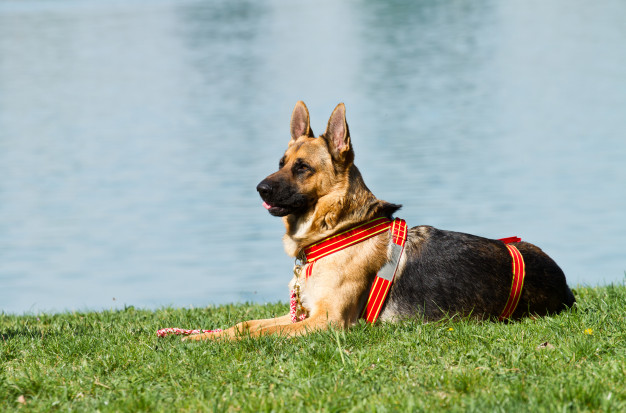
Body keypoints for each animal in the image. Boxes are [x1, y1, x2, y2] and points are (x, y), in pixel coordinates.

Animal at [184, 101, 572, 340]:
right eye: (281, 163)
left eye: (302, 168)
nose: (260, 189)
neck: (336, 229)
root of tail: (565, 285)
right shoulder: (303, 315)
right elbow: (245, 323)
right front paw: (205, 338)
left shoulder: (328, 322)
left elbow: (257, 331)